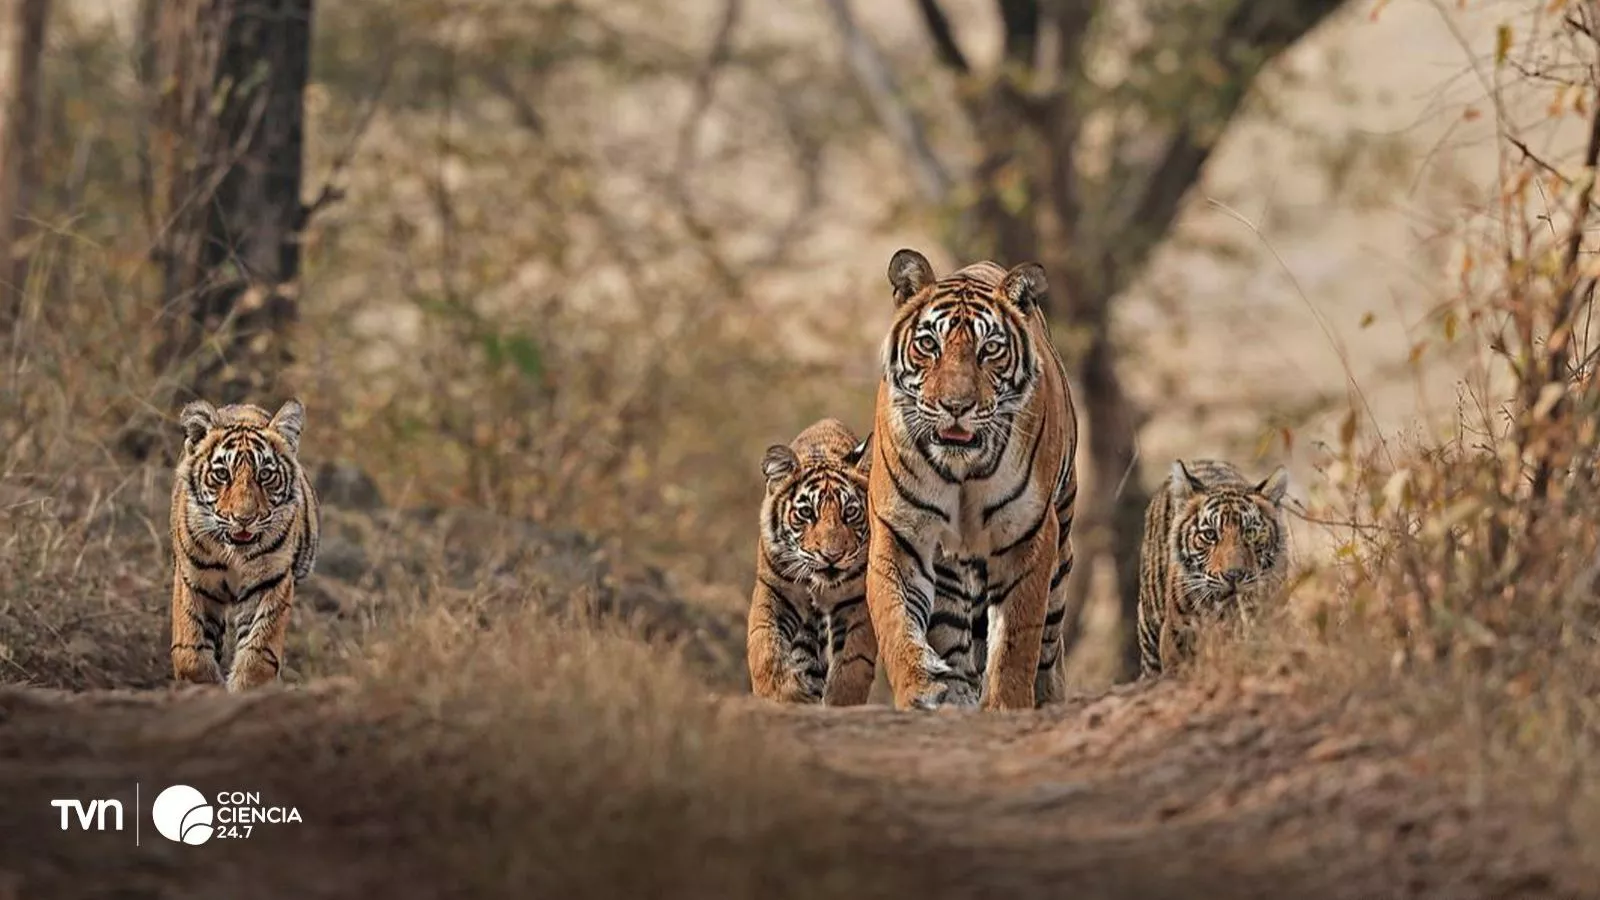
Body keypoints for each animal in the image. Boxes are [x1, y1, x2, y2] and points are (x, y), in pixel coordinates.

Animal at [169, 398, 320, 692]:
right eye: (221, 474)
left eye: (265, 475)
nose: (244, 518)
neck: (234, 555)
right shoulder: (193, 579)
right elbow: (190, 649)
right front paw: (204, 685)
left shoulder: (271, 580)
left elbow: (259, 648)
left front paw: (247, 687)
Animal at [746, 418, 878, 706]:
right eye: (807, 512)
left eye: (850, 512)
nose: (832, 556)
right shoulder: (776, 590)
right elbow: (765, 646)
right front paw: (781, 694)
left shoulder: (856, 601)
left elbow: (853, 662)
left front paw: (841, 702)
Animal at [864, 248, 1079, 711]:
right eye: (929, 344)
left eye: (990, 349)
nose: (956, 406)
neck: (961, 469)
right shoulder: (900, 532)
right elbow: (896, 621)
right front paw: (920, 689)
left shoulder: (1028, 534)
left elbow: (1017, 637)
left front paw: (1007, 704)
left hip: (1062, 546)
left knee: (1049, 642)